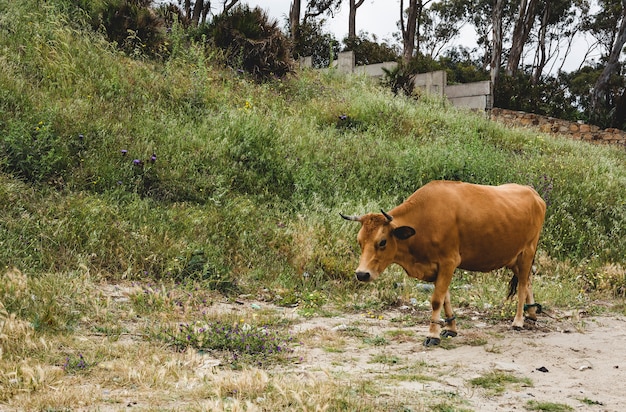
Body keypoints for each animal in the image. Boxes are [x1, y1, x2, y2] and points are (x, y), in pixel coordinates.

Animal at [338, 182, 544, 346]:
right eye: (359, 241)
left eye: (382, 242)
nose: (361, 274)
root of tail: (533, 192)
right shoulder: (439, 267)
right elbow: (446, 298)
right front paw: (451, 328)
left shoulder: (448, 262)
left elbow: (437, 300)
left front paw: (433, 334)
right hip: (513, 257)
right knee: (528, 281)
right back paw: (532, 313)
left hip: (527, 251)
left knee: (523, 284)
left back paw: (518, 321)